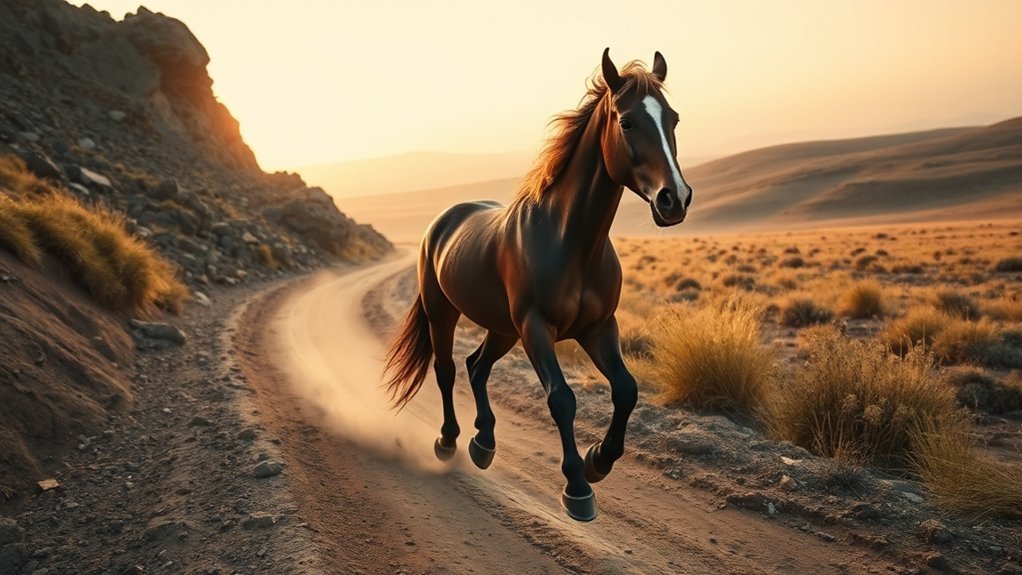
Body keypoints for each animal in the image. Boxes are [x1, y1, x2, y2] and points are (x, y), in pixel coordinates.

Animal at [384, 48, 692, 521]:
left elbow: (626, 390)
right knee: (447, 369)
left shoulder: (598, 328)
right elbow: (562, 399)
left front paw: (599, 459)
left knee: (476, 366)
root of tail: (444, 219)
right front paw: (578, 488)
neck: (571, 243)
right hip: (445, 314)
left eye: (673, 119)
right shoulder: (536, 328)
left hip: (501, 329)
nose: (674, 200)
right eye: (627, 122)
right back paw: (449, 440)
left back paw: (484, 442)